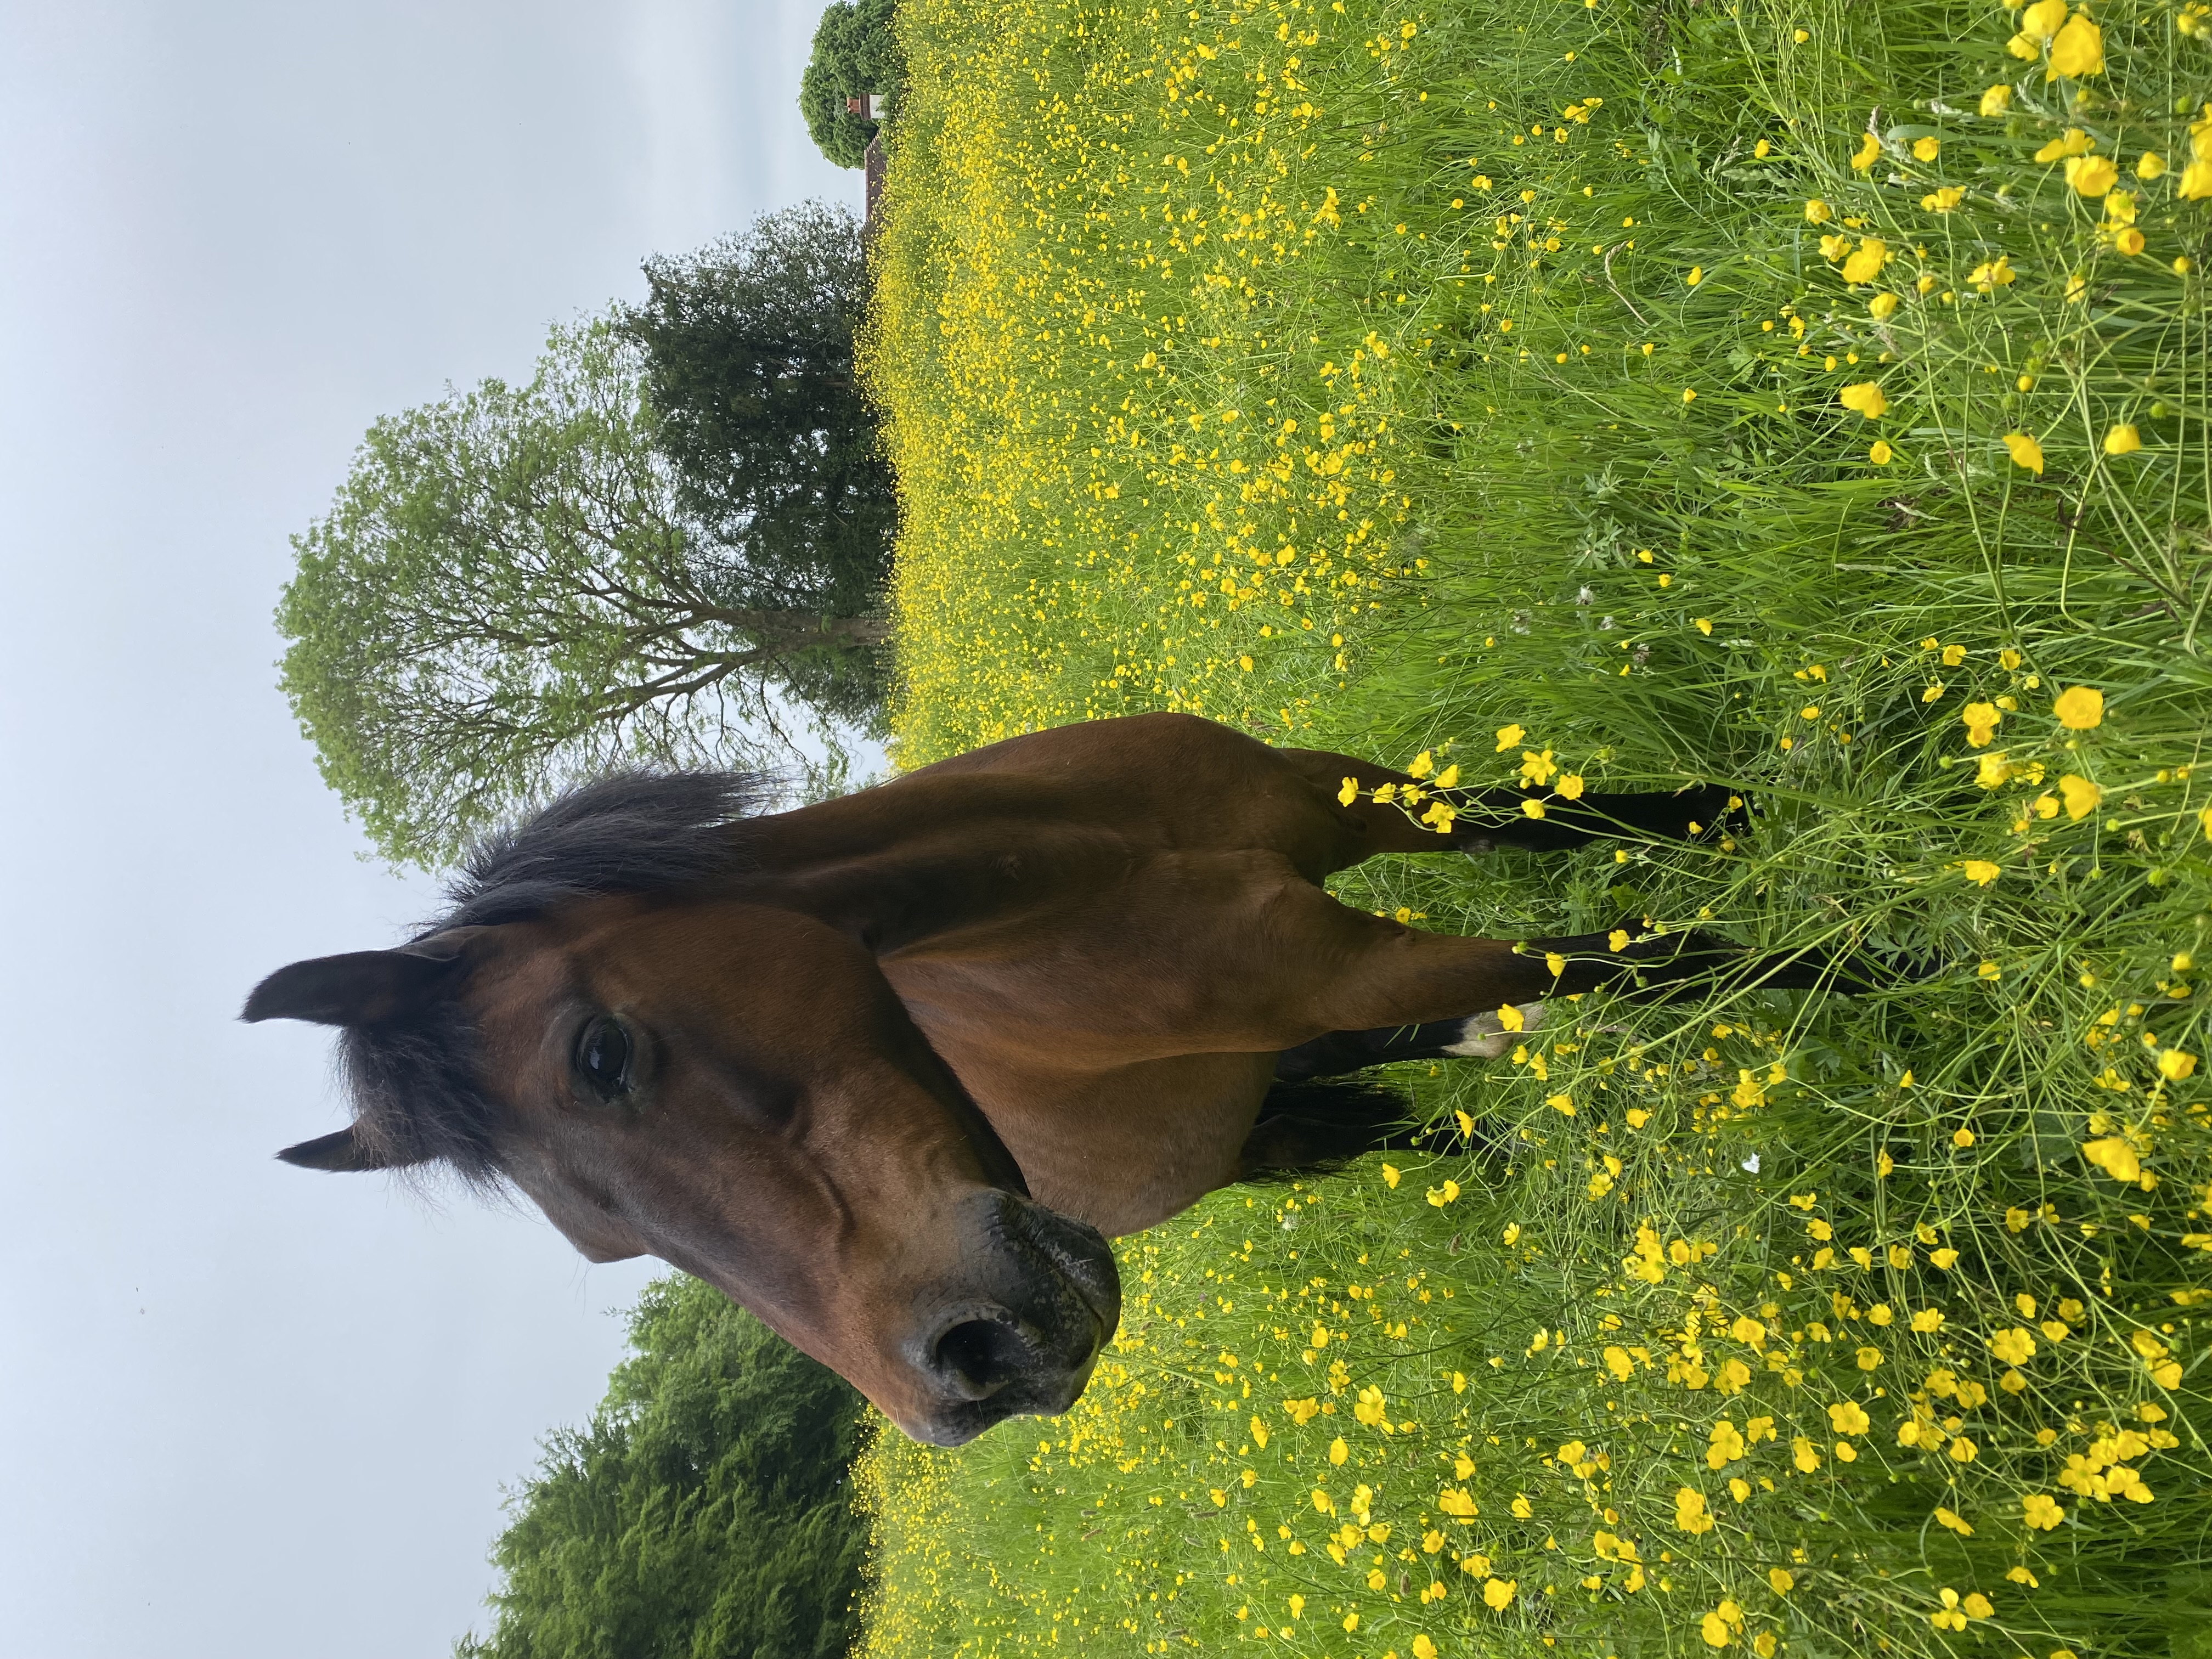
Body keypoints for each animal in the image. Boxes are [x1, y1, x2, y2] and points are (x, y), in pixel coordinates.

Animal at [246, 712, 1875, 1446]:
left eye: (602, 1056)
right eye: (610, 1252)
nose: (968, 1375)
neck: (1079, 873)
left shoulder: (1347, 801)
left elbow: (1574, 828)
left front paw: (1797, 791)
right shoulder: (1353, 968)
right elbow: (1650, 961)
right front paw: (1891, 963)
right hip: (1268, 1118)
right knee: (1394, 1115)